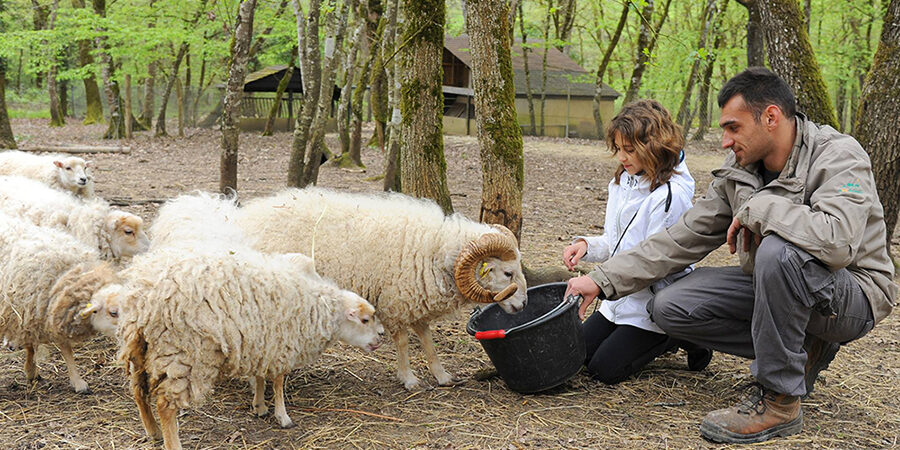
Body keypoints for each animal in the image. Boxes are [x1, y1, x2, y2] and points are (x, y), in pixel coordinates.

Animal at [114, 244, 382, 450]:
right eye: (365, 320)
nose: (381, 336)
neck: (318, 307)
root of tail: (142, 298)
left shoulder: (262, 340)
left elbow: (261, 375)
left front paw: (259, 405)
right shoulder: (282, 342)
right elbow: (278, 382)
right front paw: (282, 416)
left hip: (141, 350)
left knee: (138, 391)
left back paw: (153, 431)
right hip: (182, 354)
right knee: (165, 405)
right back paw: (172, 442)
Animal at [236, 186, 528, 390]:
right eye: (508, 272)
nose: (524, 304)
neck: (438, 252)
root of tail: (242, 219)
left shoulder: (414, 300)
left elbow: (427, 339)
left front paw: (442, 375)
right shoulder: (395, 302)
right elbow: (403, 343)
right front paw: (409, 379)